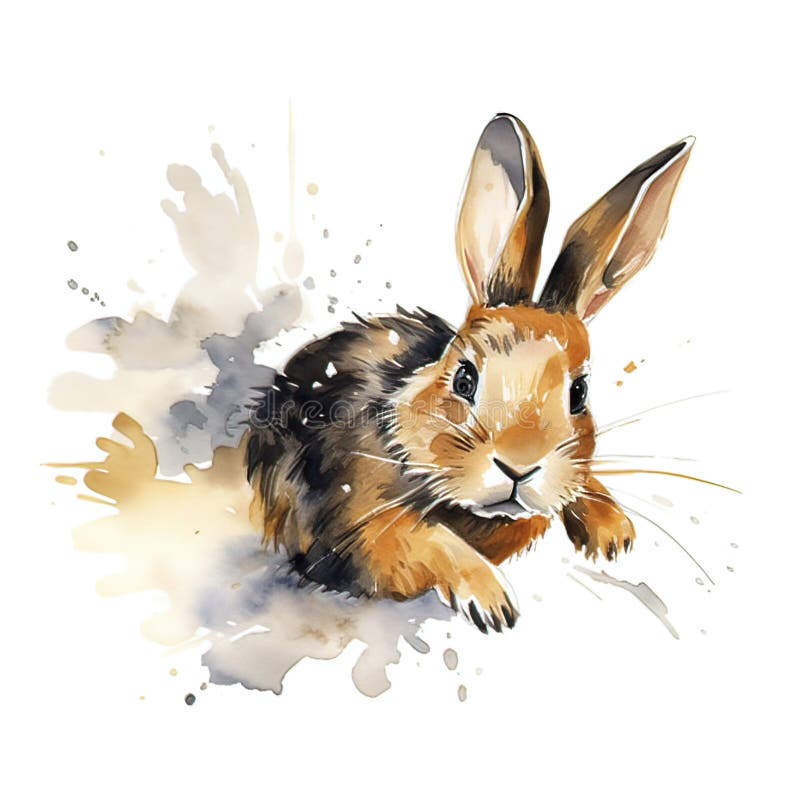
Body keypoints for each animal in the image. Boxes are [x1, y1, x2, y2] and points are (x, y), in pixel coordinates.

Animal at [246, 113, 693, 632]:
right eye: (464, 379)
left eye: (579, 393)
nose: (519, 467)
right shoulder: (355, 528)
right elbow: (426, 541)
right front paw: (494, 602)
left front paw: (614, 533)